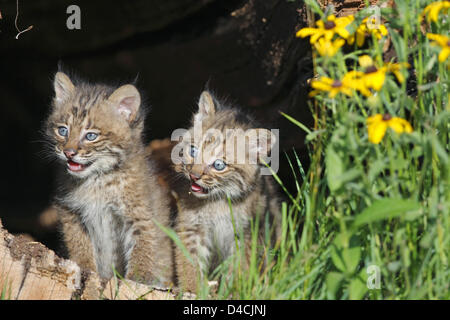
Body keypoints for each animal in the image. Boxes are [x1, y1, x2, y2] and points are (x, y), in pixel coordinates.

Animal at [47, 72, 174, 284]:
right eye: (63, 130)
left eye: (91, 136)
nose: (68, 153)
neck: (97, 179)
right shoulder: (70, 211)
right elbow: (78, 243)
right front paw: (85, 268)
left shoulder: (138, 215)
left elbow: (142, 246)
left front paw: (138, 280)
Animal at [173, 90, 282, 292]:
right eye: (193, 151)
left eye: (218, 165)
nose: (194, 176)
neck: (218, 200)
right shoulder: (192, 226)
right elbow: (189, 261)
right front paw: (193, 290)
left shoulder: (246, 232)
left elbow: (240, 266)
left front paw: (233, 291)